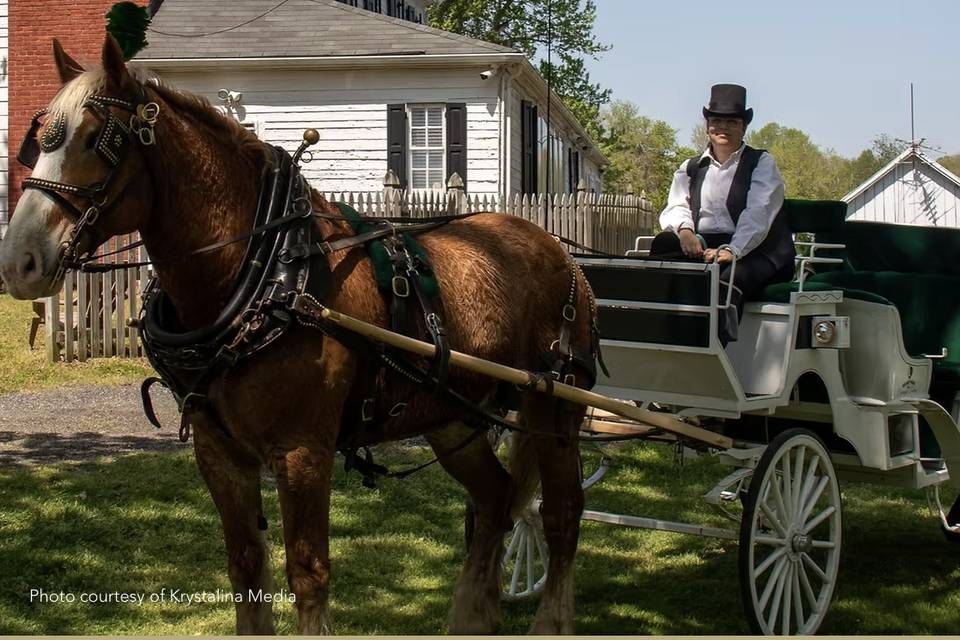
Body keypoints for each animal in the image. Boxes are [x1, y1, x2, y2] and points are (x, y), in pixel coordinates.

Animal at [0, 35, 597, 635]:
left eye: (98, 138)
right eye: (37, 140)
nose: (18, 260)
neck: (271, 274)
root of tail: (557, 250)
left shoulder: (303, 451)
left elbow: (309, 575)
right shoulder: (219, 452)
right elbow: (245, 567)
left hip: (555, 407)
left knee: (561, 514)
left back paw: (552, 621)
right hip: (453, 416)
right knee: (496, 500)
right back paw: (473, 617)